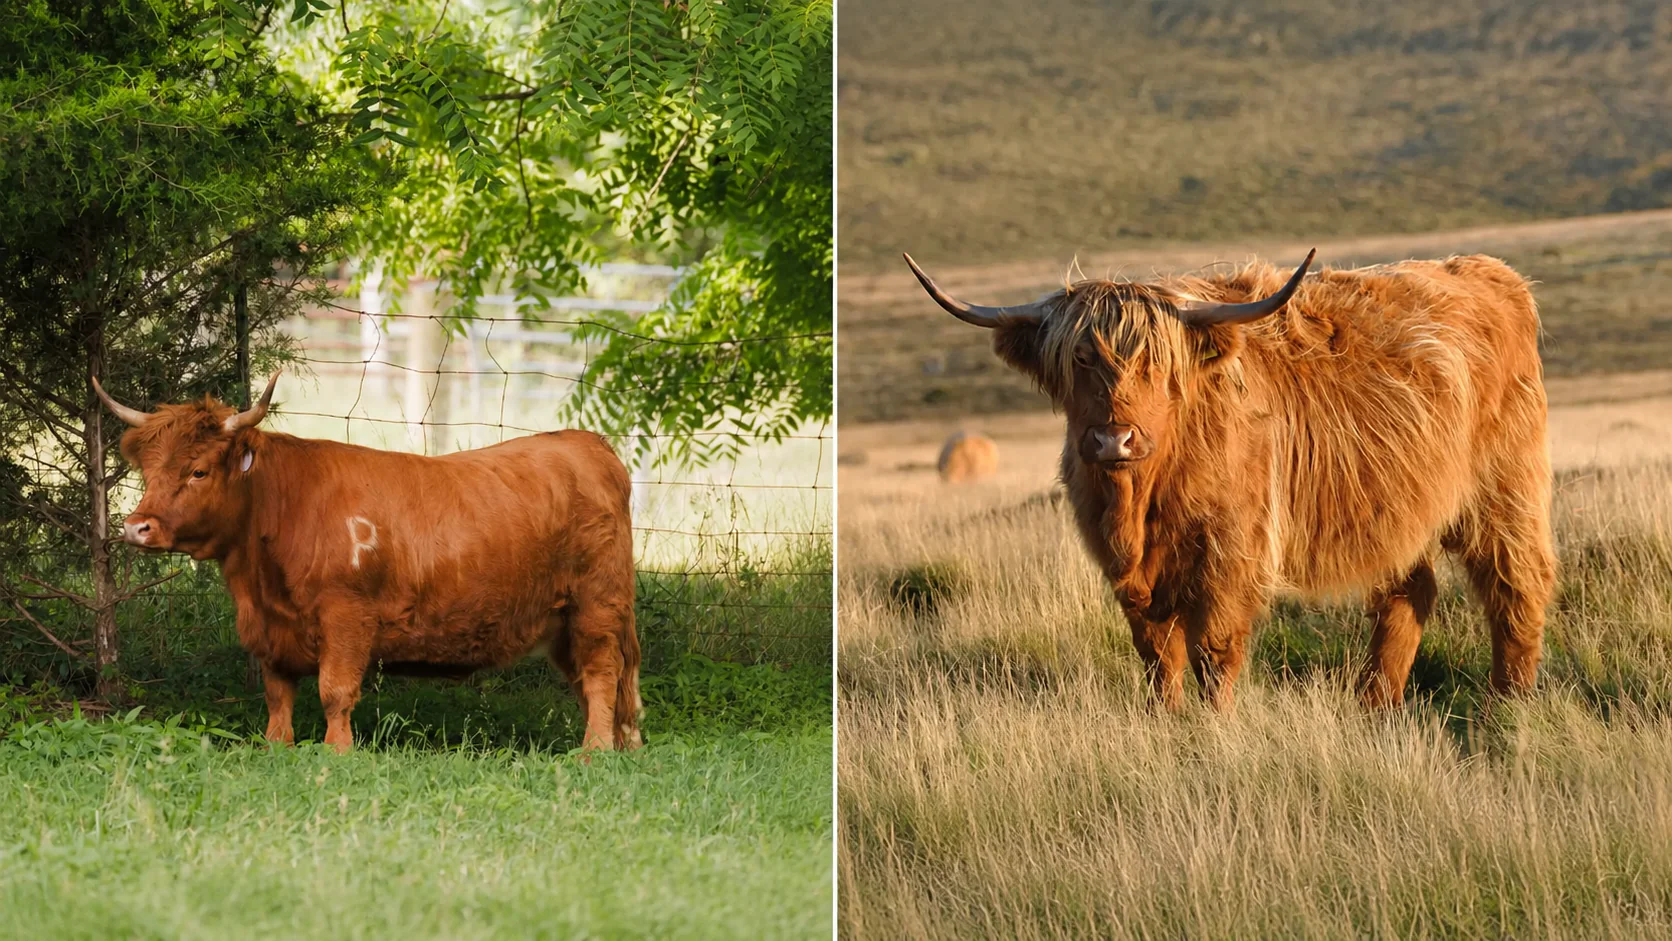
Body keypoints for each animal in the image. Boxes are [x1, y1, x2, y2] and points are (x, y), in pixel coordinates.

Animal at [93, 374, 641, 753]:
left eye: (199, 470)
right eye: (148, 471)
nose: (137, 527)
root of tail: (588, 444)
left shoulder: (347, 617)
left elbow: (335, 691)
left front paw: (337, 751)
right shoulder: (270, 631)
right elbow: (277, 694)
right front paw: (277, 746)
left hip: (597, 605)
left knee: (601, 672)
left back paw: (593, 751)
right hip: (563, 621)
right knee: (593, 682)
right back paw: (618, 744)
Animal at [903, 249, 1556, 711]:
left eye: (1155, 363)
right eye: (1080, 359)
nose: (1114, 440)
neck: (1141, 503)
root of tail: (1492, 273)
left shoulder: (1231, 552)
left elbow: (1212, 652)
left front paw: (1214, 729)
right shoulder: (1129, 573)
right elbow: (1157, 655)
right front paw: (1165, 723)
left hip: (1504, 490)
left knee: (1517, 586)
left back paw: (1508, 705)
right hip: (1398, 507)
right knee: (1407, 595)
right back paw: (1375, 705)